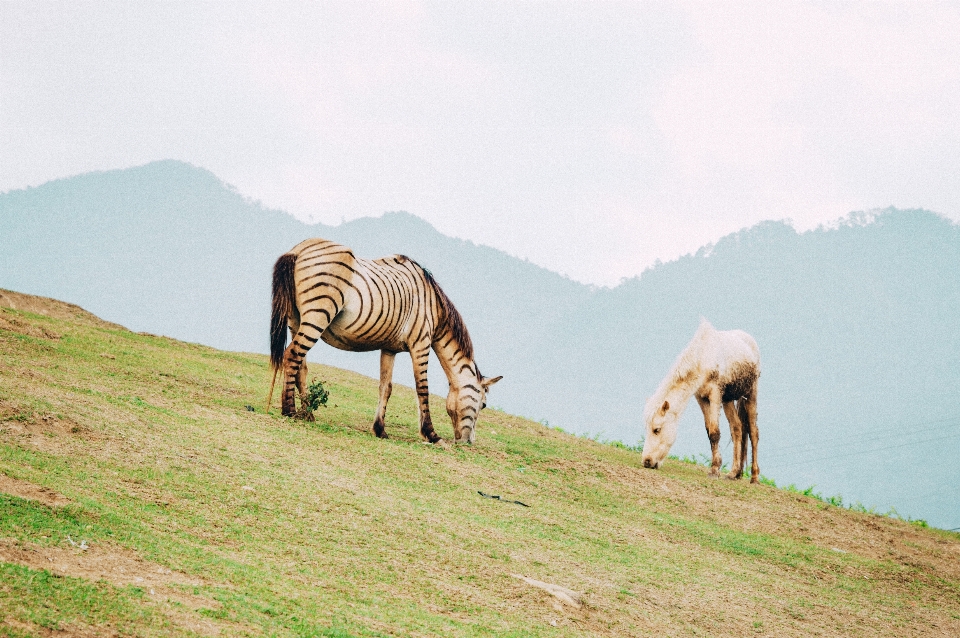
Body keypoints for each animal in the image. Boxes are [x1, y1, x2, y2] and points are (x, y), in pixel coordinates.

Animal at [264, 239, 502, 444]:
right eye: (484, 405)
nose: (468, 443)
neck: (434, 306)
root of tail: (299, 249)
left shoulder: (389, 349)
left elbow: (385, 387)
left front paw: (380, 429)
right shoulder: (421, 343)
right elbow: (422, 389)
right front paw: (431, 435)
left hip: (296, 319)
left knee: (301, 365)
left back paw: (307, 414)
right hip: (318, 314)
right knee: (292, 355)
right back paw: (289, 410)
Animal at [640, 322, 760, 482]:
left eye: (657, 429)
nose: (646, 461)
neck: (703, 358)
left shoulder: (715, 394)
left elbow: (715, 432)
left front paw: (714, 470)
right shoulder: (701, 397)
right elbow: (709, 432)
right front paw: (716, 468)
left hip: (751, 393)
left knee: (753, 433)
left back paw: (754, 477)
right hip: (728, 400)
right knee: (737, 428)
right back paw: (734, 473)